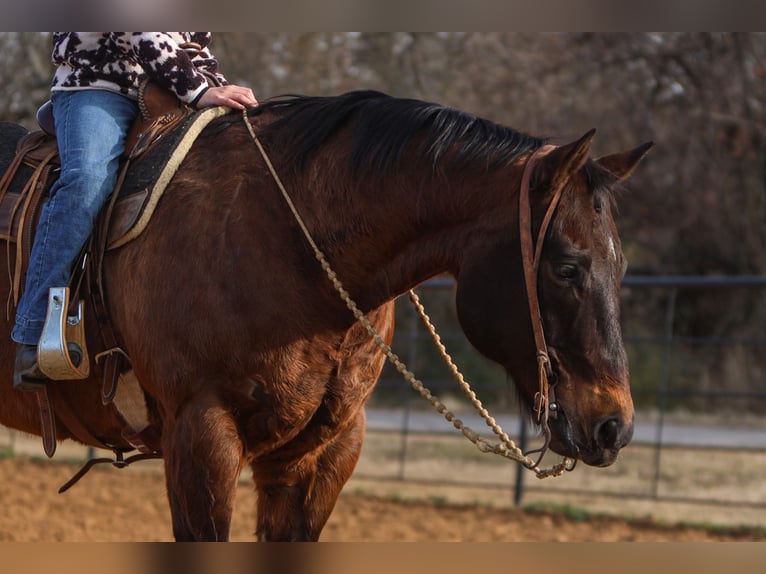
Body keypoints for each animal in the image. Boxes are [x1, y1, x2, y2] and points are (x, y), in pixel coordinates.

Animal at [0, 89, 656, 540]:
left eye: (622, 266)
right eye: (567, 267)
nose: (614, 426)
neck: (287, 239)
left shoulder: (322, 454)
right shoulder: (200, 439)